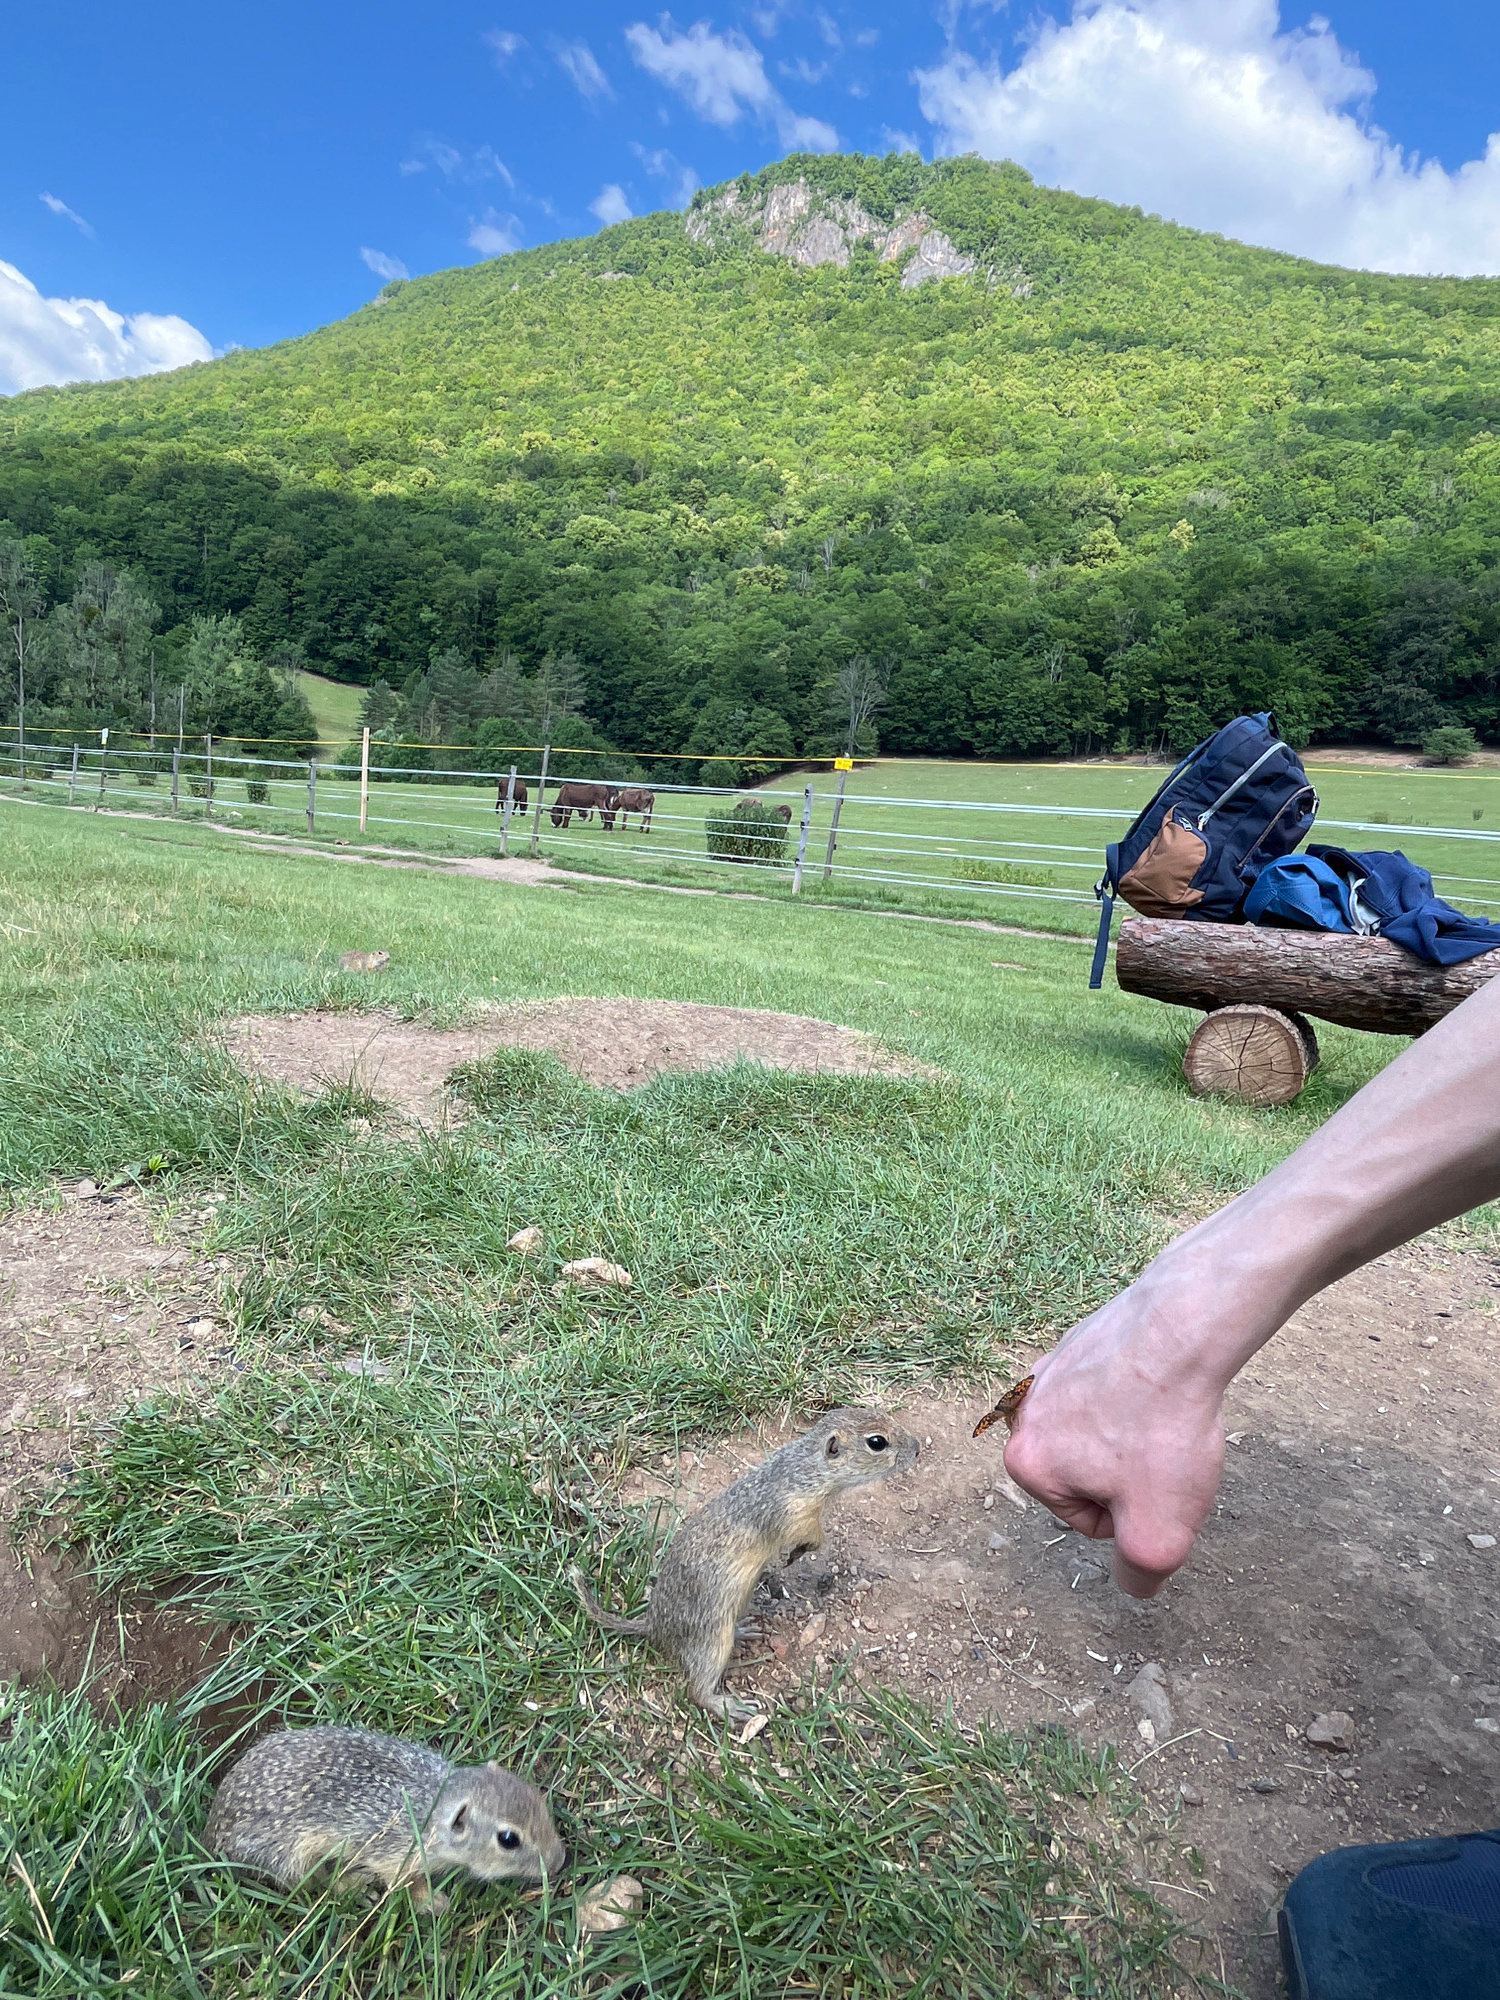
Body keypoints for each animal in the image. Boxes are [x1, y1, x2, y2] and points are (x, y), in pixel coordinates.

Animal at [204, 1726, 564, 1908]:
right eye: (509, 1839)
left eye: (537, 1797)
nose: (560, 1860)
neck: (432, 1808)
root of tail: (214, 1832)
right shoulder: (396, 1856)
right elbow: (405, 1883)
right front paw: (435, 1903)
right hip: (288, 1857)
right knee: (312, 1882)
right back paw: (355, 1887)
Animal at [572, 1406, 919, 1721]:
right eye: (877, 1442)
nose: (917, 1448)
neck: (808, 1469)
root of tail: (655, 1626)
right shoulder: (797, 1514)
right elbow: (813, 1536)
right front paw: (800, 1552)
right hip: (711, 1640)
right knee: (695, 1691)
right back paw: (728, 1706)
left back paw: (744, 1630)